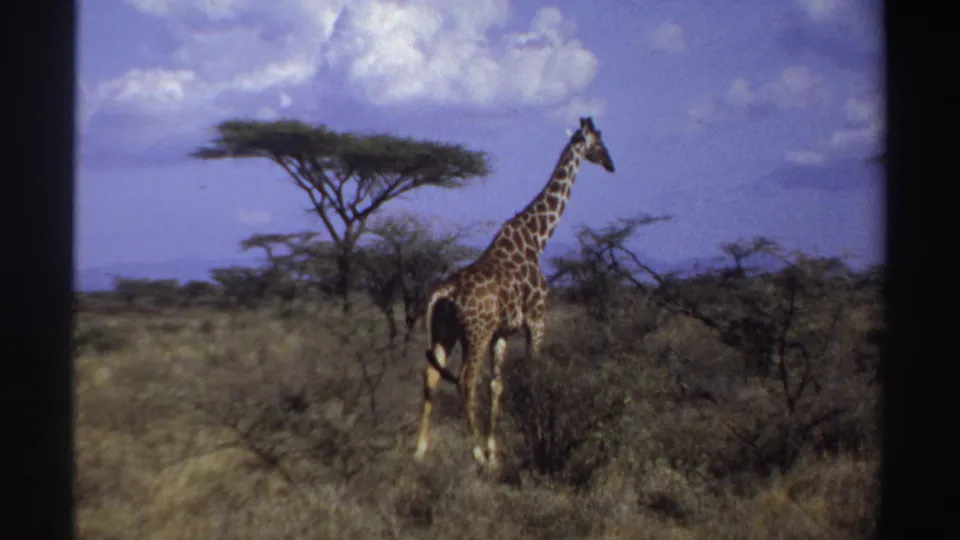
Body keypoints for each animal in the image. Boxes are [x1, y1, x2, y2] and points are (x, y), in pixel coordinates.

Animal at [413, 117, 615, 470]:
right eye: (598, 141)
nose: (611, 164)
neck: (537, 238)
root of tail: (447, 290)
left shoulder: (502, 333)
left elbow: (497, 385)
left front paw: (495, 451)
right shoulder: (536, 321)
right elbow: (534, 377)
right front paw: (534, 436)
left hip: (445, 333)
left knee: (431, 376)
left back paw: (420, 451)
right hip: (474, 333)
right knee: (465, 380)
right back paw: (475, 454)